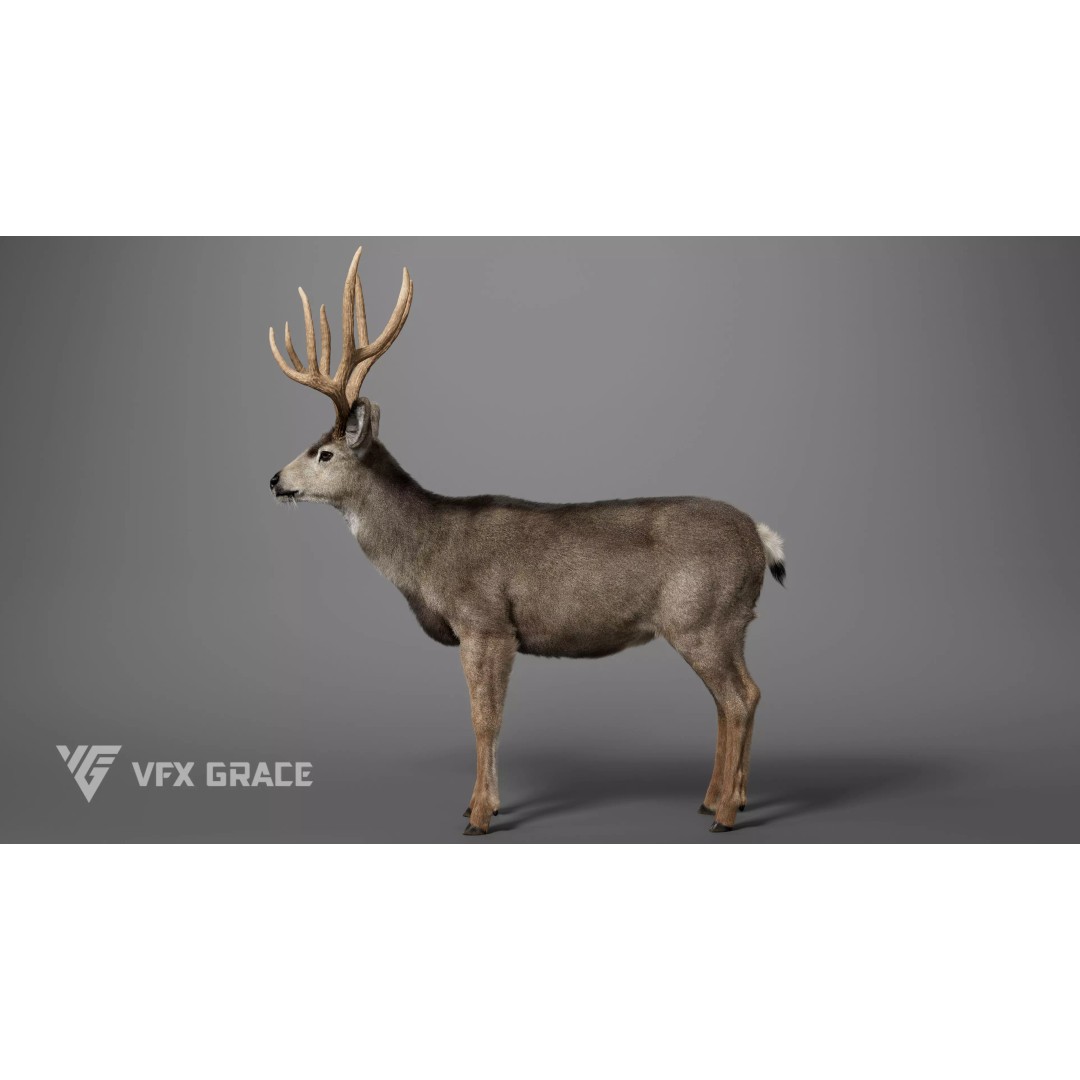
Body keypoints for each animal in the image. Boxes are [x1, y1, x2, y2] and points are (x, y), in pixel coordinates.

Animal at [267, 246, 786, 836]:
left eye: (324, 454)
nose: (275, 479)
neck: (425, 555)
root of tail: (760, 538)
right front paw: (482, 805)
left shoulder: (486, 623)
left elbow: (485, 719)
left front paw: (478, 814)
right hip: (730, 621)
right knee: (741, 696)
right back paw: (722, 798)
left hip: (702, 617)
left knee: (738, 698)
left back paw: (723, 813)